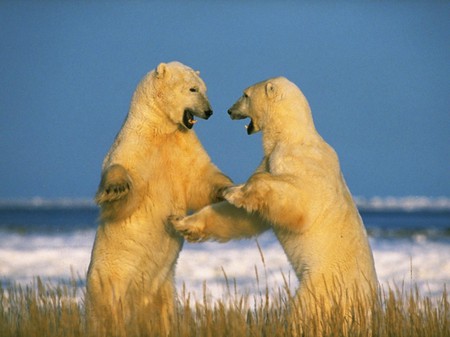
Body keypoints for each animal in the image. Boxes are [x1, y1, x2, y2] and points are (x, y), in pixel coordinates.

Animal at [85, 61, 232, 334]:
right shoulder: (135, 144)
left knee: (164, 311)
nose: (209, 111)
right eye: (193, 88)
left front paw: (227, 188)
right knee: (108, 311)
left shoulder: (182, 144)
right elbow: (123, 183)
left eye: (204, 88)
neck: (160, 127)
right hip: (109, 280)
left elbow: (200, 176)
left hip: (163, 286)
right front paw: (115, 188)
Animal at [171, 77, 378, 320]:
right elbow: (246, 216)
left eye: (245, 94)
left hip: (325, 282)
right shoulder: (269, 160)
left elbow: (299, 204)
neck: (290, 135)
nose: (229, 110)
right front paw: (182, 223)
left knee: (306, 308)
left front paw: (234, 192)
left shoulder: (297, 161)